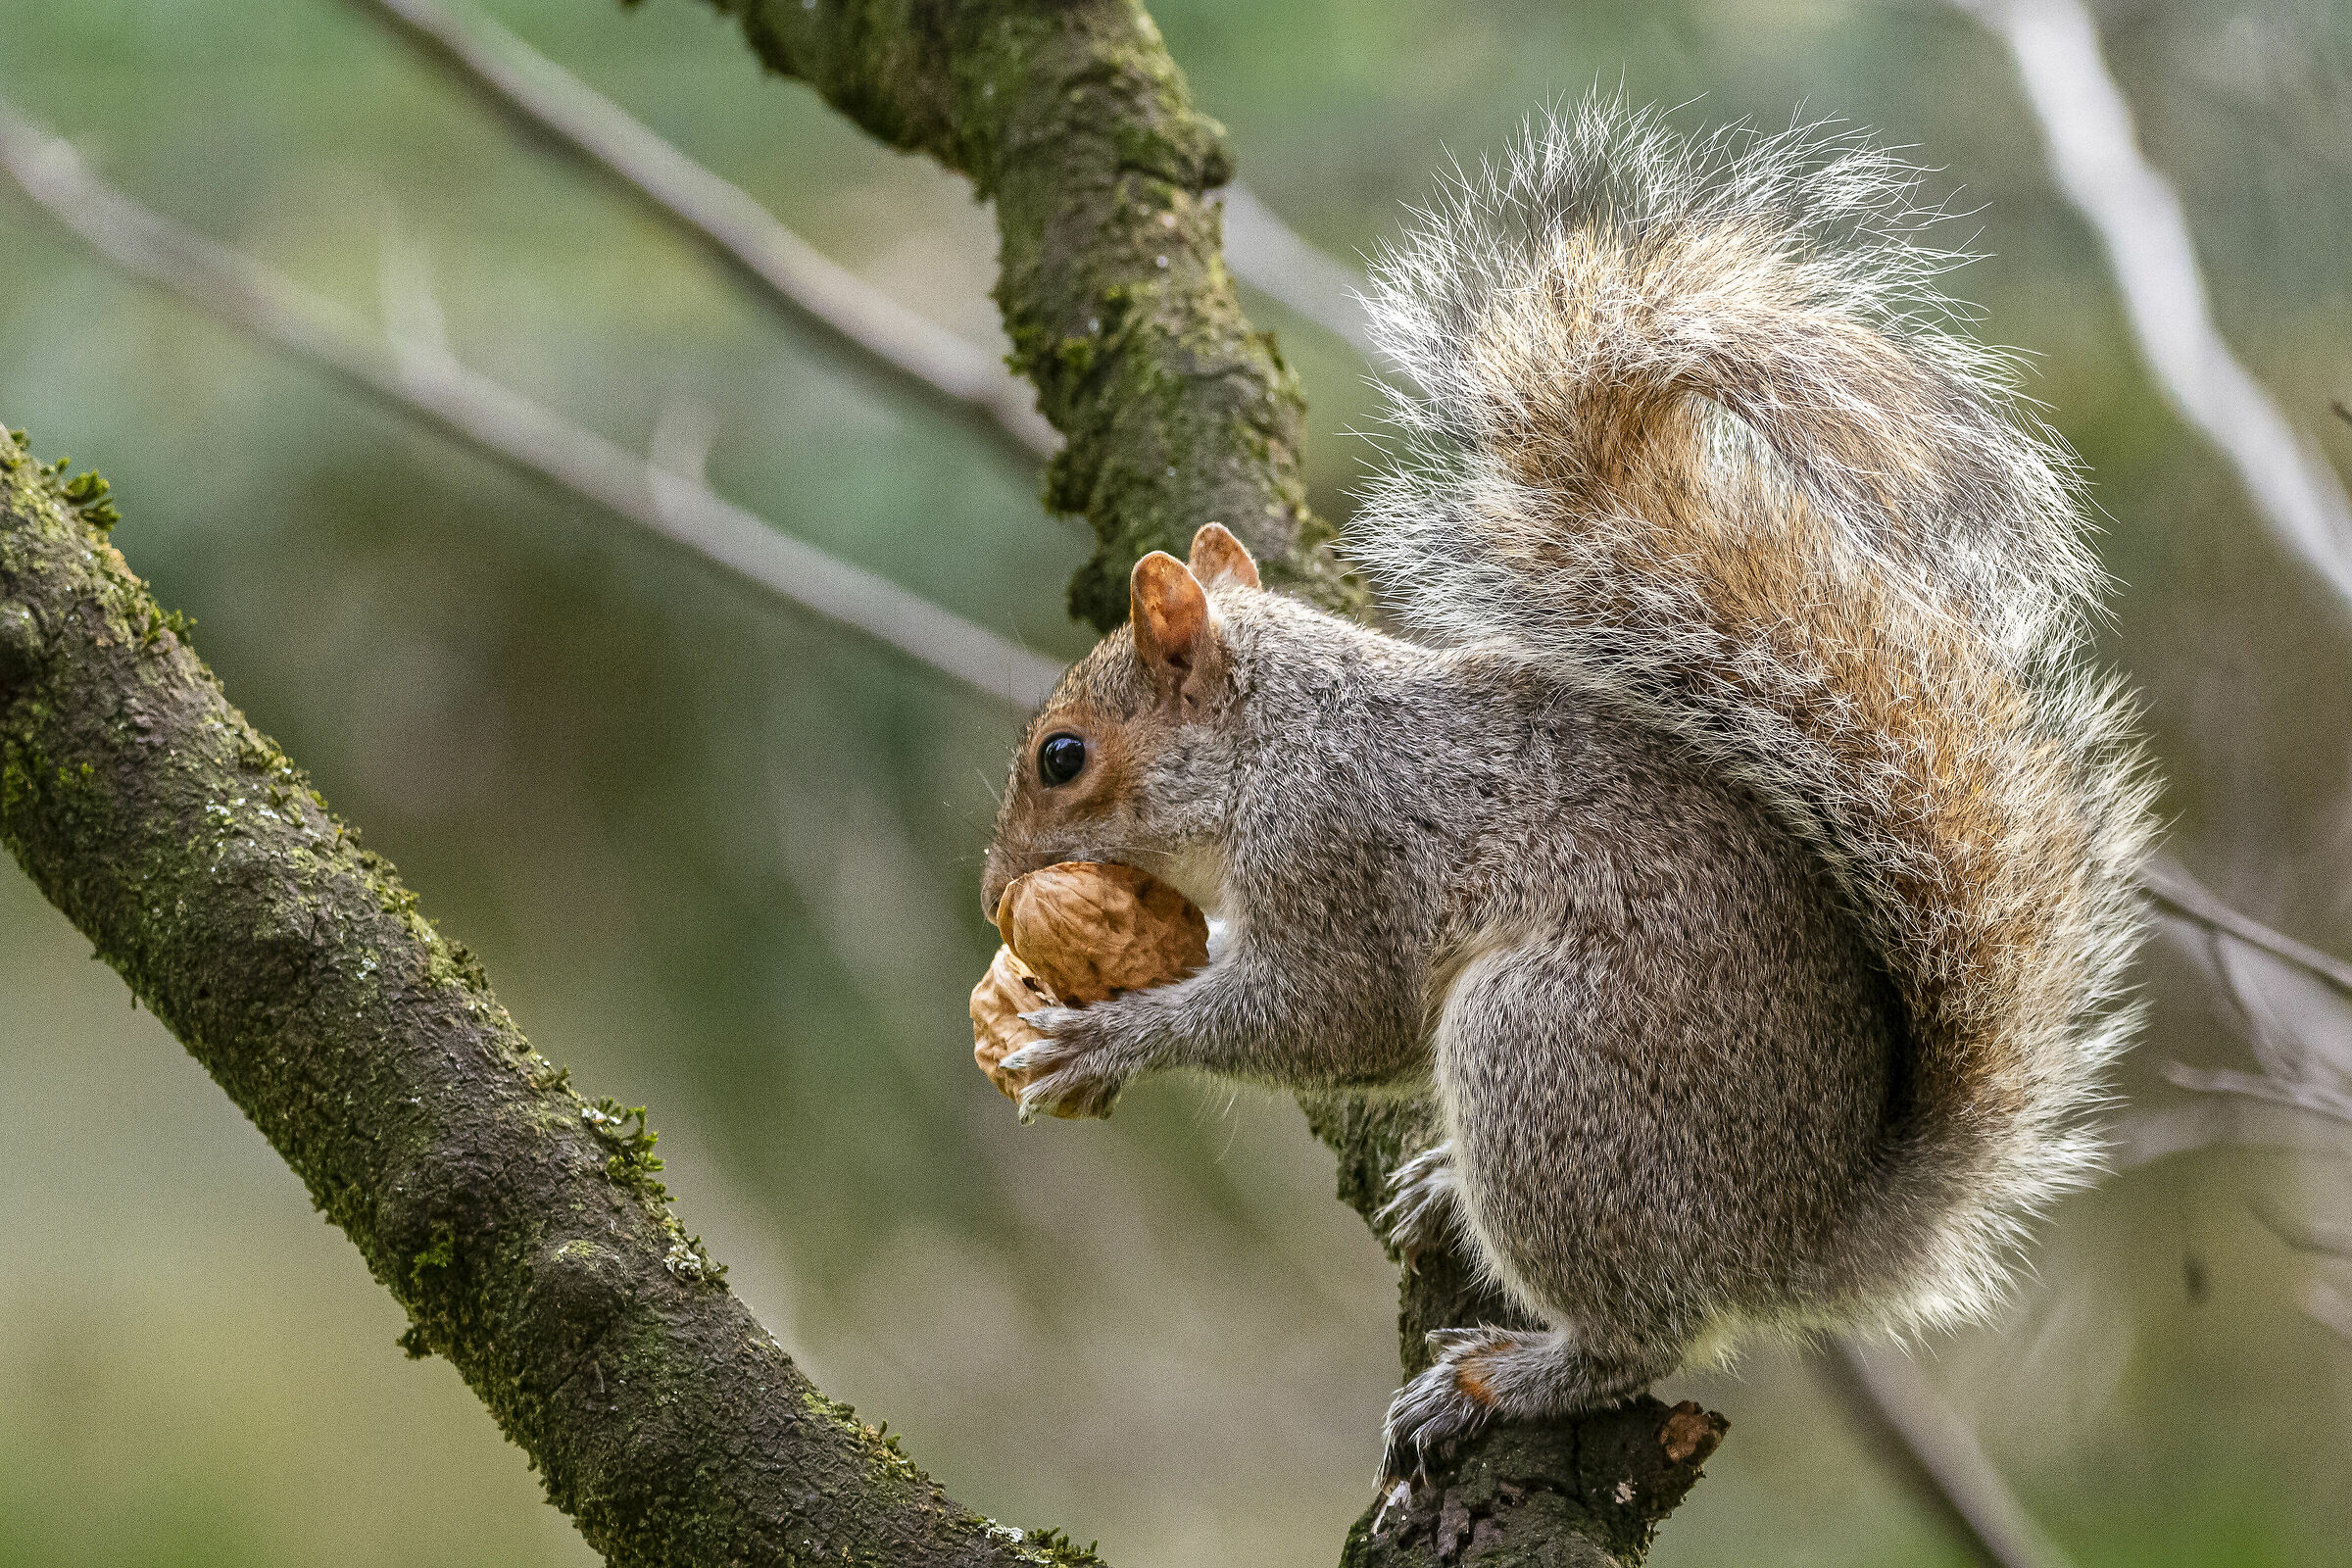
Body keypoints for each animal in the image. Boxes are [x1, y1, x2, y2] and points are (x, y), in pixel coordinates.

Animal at [980, 102, 2156, 1480]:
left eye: (1063, 755)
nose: (996, 888)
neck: (1278, 737)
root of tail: (1808, 1234)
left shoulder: (1341, 855)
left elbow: (1335, 1017)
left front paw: (1106, 1035)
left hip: (1548, 1053)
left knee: (1643, 1338)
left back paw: (1512, 1373)